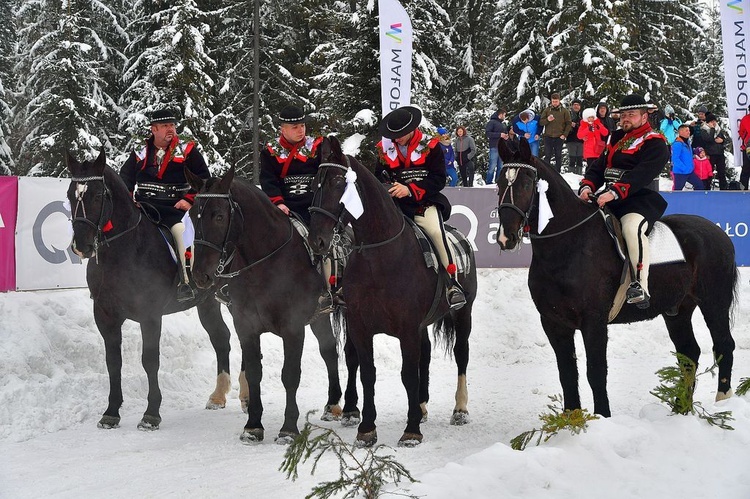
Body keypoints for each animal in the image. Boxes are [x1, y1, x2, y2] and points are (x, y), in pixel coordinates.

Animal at [66, 150, 234, 432]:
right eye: (70, 194)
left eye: (98, 195)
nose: (82, 245)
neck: (124, 250)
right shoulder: (105, 315)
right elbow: (113, 362)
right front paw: (111, 412)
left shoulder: (150, 315)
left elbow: (150, 360)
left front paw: (151, 414)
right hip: (207, 302)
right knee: (221, 337)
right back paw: (218, 396)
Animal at [188, 168, 350, 446]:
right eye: (191, 214)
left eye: (219, 215)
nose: (200, 275)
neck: (267, 265)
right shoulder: (246, 326)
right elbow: (254, 372)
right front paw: (253, 425)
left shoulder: (293, 328)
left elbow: (290, 374)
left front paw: (288, 428)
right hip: (318, 318)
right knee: (329, 351)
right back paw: (332, 404)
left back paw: (343, 407)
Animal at [306, 138, 476, 450]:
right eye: (314, 184)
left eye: (338, 182)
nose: (317, 241)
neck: (380, 257)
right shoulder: (361, 326)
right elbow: (367, 373)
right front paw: (366, 429)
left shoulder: (407, 328)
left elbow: (407, 374)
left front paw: (411, 431)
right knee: (425, 355)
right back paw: (420, 407)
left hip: (463, 314)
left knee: (461, 354)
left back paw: (459, 409)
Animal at [496, 138, 736, 418]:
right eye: (499, 183)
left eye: (525, 184)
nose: (506, 237)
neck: (567, 246)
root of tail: (718, 233)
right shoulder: (554, 323)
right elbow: (567, 373)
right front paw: (571, 420)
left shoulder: (594, 321)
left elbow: (596, 371)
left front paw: (602, 416)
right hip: (677, 310)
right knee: (688, 353)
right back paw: (680, 408)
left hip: (714, 303)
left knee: (723, 344)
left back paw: (723, 402)